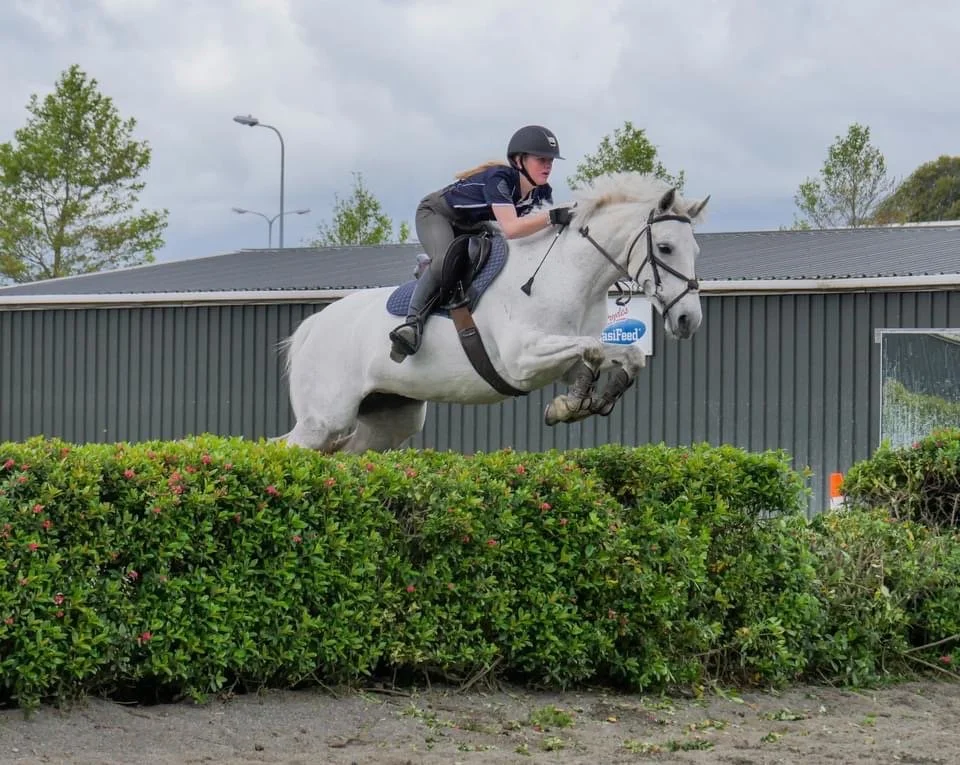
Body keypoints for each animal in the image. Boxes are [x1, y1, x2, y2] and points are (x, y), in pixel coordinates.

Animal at [274, 172, 709, 453]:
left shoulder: (562, 355)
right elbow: (594, 349)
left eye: (695, 250)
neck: (568, 274)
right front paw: (573, 404)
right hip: (324, 417)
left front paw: (578, 403)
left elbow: (625, 353)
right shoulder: (522, 359)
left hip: (388, 419)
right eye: (666, 248)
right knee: (288, 447)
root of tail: (311, 326)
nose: (688, 320)